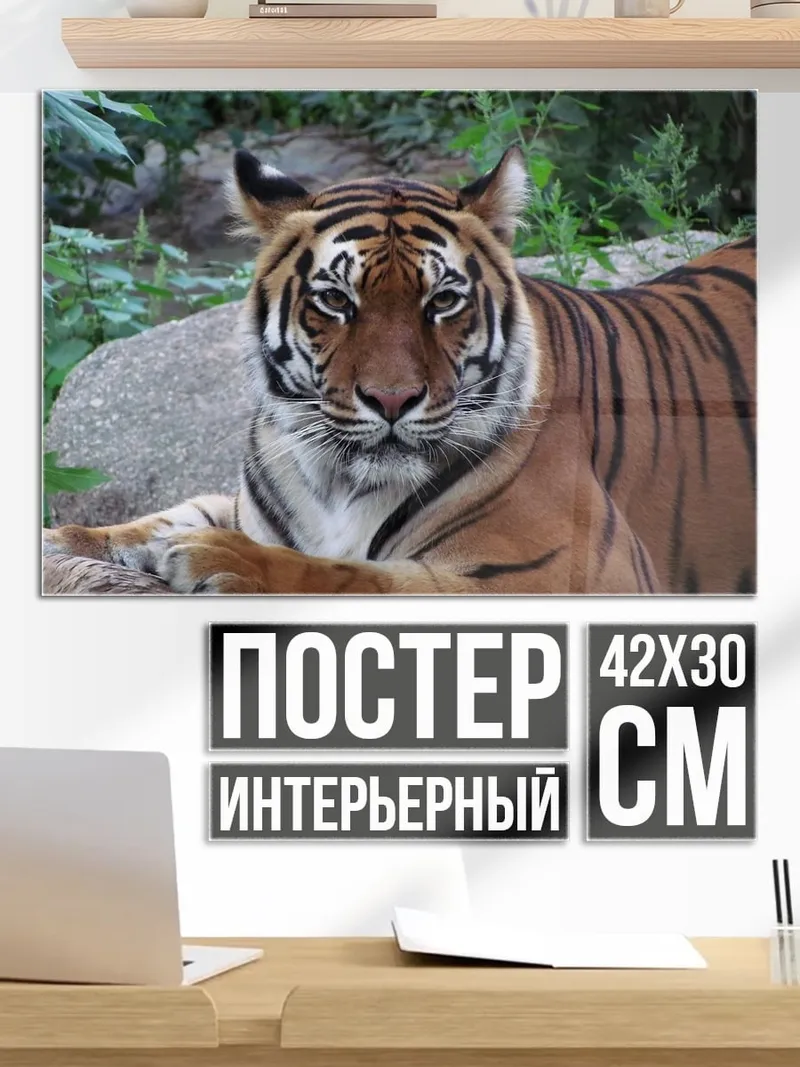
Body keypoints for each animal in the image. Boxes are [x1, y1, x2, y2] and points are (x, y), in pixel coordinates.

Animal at [42, 146, 756, 596]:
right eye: (336, 300)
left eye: (442, 301)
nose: (392, 400)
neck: (337, 481)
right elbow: (171, 514)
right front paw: (61, 539)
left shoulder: (569, 573)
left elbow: (359, 575)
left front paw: (226, 562)